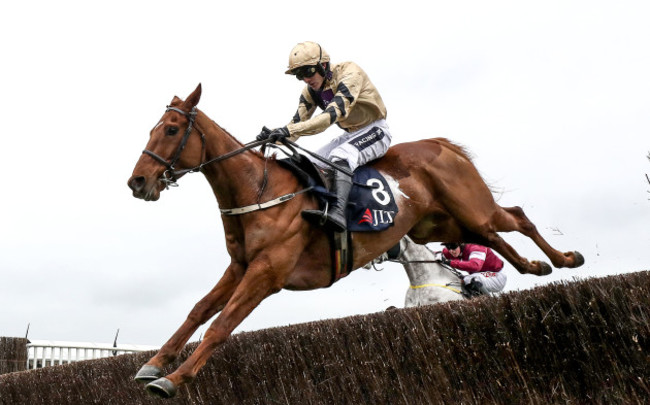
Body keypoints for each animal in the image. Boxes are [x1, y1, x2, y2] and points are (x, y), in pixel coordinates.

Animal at [126, 83, 584, 396]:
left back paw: (565, 259)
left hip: (470, 208)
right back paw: (538, 266)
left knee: (515, 219)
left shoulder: (268, 272)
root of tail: (439, 145)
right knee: (496, 236)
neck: (259, 190)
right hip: (440, 225)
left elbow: (222, 325)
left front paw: (173, 379)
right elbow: (199, 310)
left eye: (171, 129)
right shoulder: (240, 266)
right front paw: (154, 363)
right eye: (152, 129)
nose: (138, 182)